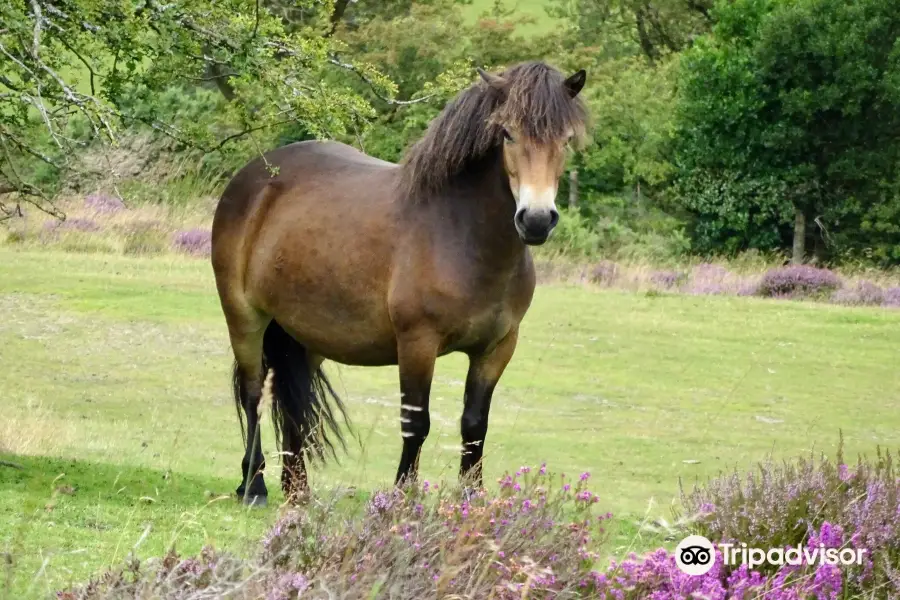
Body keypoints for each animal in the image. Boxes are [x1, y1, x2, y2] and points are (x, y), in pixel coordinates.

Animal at [212, 61, 592, 504]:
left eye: (565, 139)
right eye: (507, 134)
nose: (535, 219)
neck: (460, 232)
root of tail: (256, 174)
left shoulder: (497, 348)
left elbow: (474, 425)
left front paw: (471, 498)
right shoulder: (417, 344)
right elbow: (417, 423)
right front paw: (403, 497)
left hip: (305, 337)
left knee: (293, 405)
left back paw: (298, 491)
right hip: (244, 317)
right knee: (253, 392)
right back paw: (253, 484)